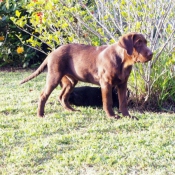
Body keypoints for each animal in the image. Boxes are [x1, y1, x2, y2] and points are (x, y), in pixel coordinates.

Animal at [20, 32, 152, 119]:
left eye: (145, 42)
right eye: (138, 43)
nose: (152, 54)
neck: (122, 61)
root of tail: (52, 53)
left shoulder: (122, 84)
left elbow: (123, 101)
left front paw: (127, 116)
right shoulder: (106, 83)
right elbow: (108, 102)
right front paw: (112, 116)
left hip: (70, 81)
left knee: (62, 96)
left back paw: (71, 110)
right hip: (54, 77)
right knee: (43, 95)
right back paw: (40, 114)